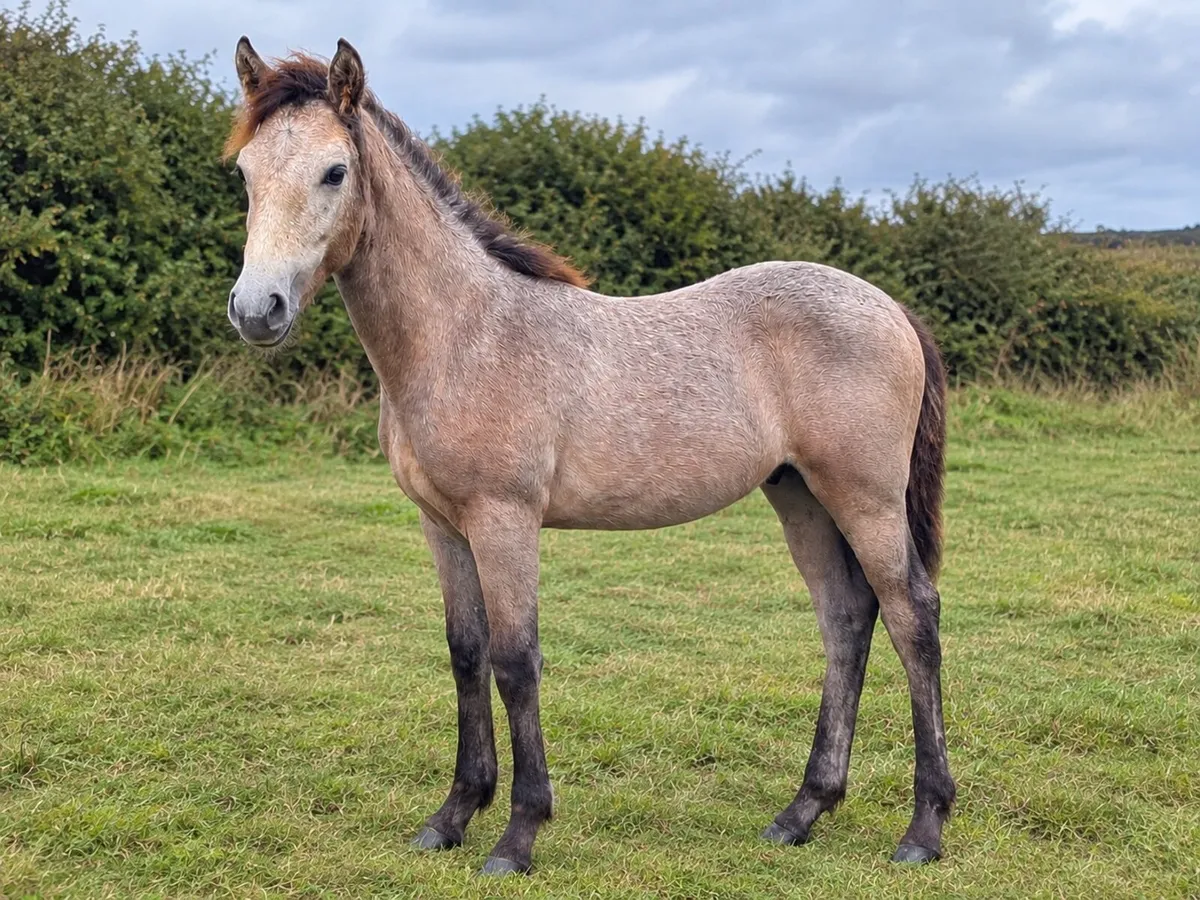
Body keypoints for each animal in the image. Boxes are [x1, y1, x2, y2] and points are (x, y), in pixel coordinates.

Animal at [224, 37, 956, 877]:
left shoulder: (504, 521)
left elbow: (516, 661)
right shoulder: (443, 526)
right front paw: (451, 817)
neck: (465, 334)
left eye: (335, 171)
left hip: (864, 498)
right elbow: (465, 654)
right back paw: (801, 812)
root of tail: (891, 307)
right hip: (799, 495)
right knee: (845, 617)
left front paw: (517, 835)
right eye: (244, 172)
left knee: (912, 617)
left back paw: (923, 829)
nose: (257, 310)